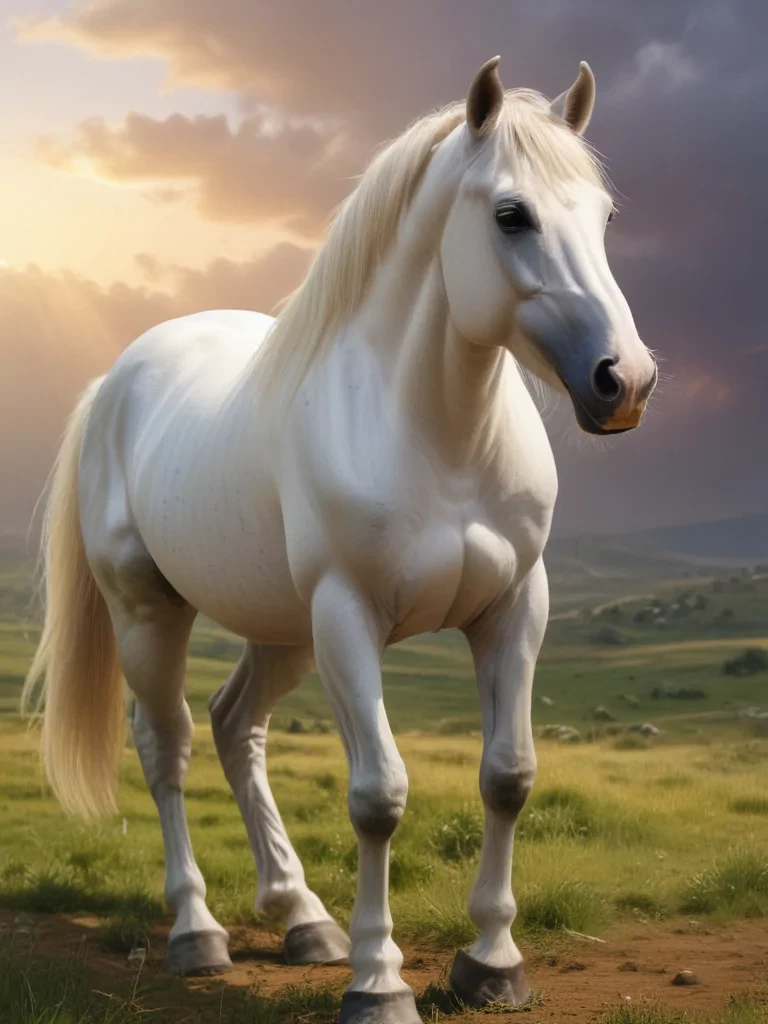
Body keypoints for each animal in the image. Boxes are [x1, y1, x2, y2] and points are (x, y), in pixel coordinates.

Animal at [23, 57, 657, 1024]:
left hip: (283, 630)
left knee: (235, 727)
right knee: (167, 746)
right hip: (151, 615)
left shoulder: (516, 607)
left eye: (606, 215)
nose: (625, 381)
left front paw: (492, 963)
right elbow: (377, 796)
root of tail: (114, 382)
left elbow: (509, 775)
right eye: (512, 215)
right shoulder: (349, 618)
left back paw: (301, 916)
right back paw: (197, 933)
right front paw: (378, 980)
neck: (436, 435)